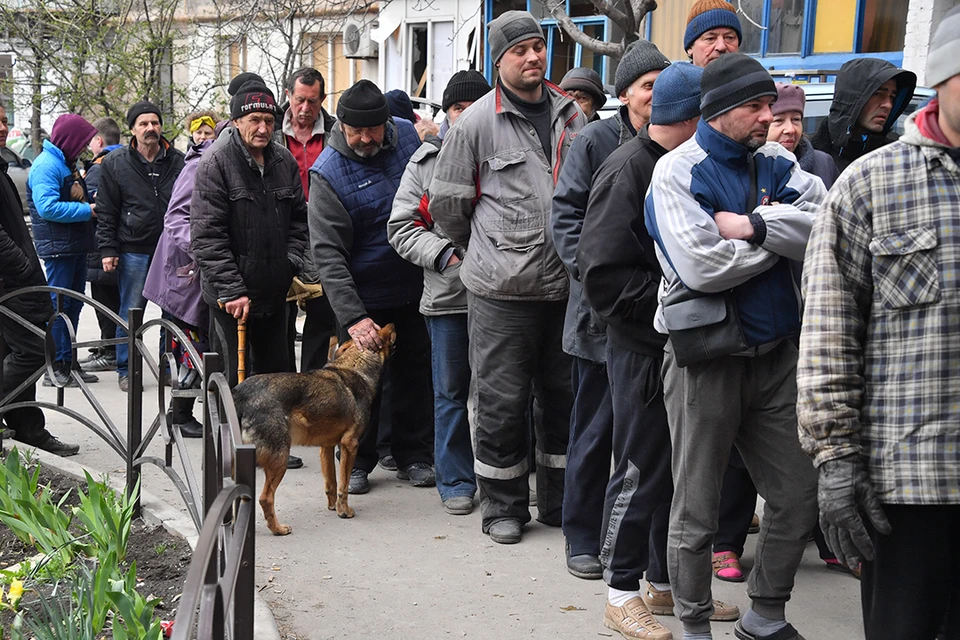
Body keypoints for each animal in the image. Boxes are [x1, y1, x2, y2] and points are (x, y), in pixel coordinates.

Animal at [234, 324, 396, 536]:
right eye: (382, 329)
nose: (393, 324)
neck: (355, 367)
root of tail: (240, 394)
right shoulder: (350, 445)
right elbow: (344, 486)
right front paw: (344, 511)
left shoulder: (326, 447)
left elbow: (331, 483)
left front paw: (333, 507)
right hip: (279, 460)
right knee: (265, 498)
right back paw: (278, 529)